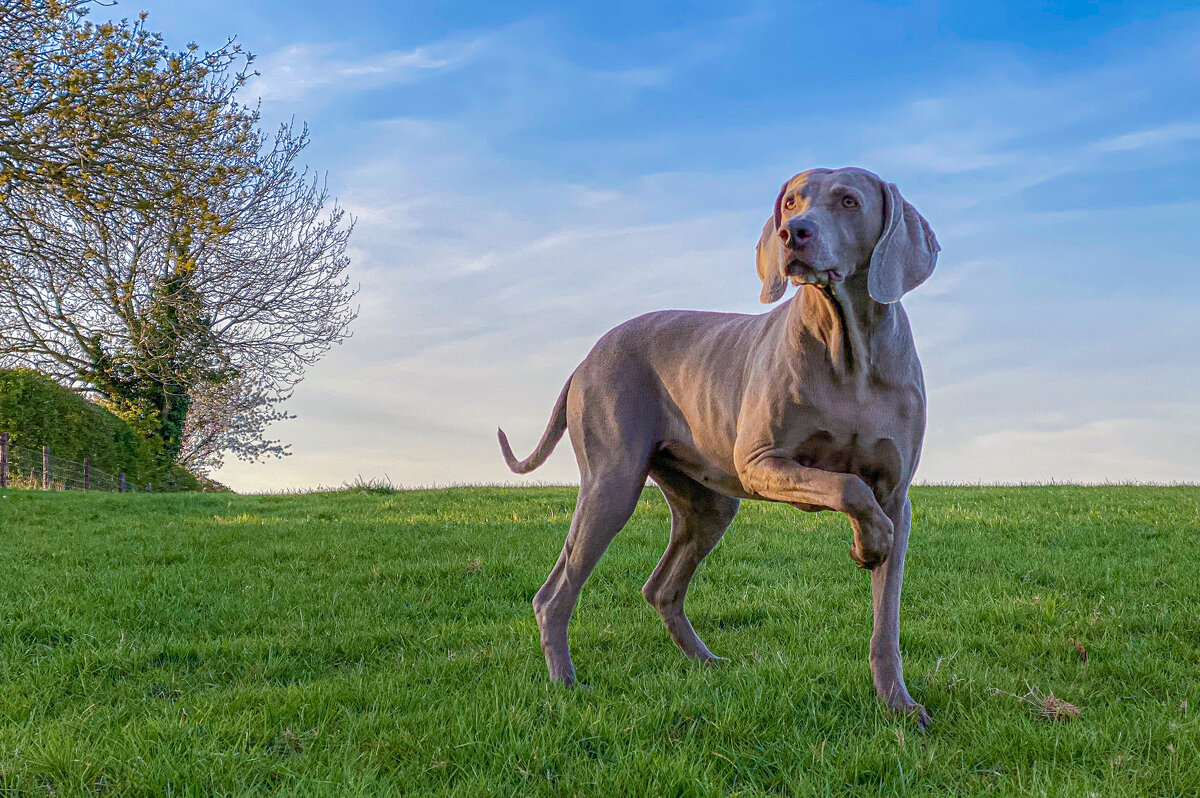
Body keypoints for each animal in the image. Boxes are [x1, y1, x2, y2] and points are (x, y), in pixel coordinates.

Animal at [494, 164, 936, 724]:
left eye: (849, 201)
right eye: (791, 202)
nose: (793, 234)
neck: (850, 352)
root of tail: (586, 358)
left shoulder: (896, 496)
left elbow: (886, 619)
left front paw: (898, 703)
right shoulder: (760, 463)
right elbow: (848, 486)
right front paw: (868, 542)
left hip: (707, 504)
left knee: (661, 587)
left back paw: (706, 661)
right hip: (612, 482)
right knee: (554, 594)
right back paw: (565, 681)